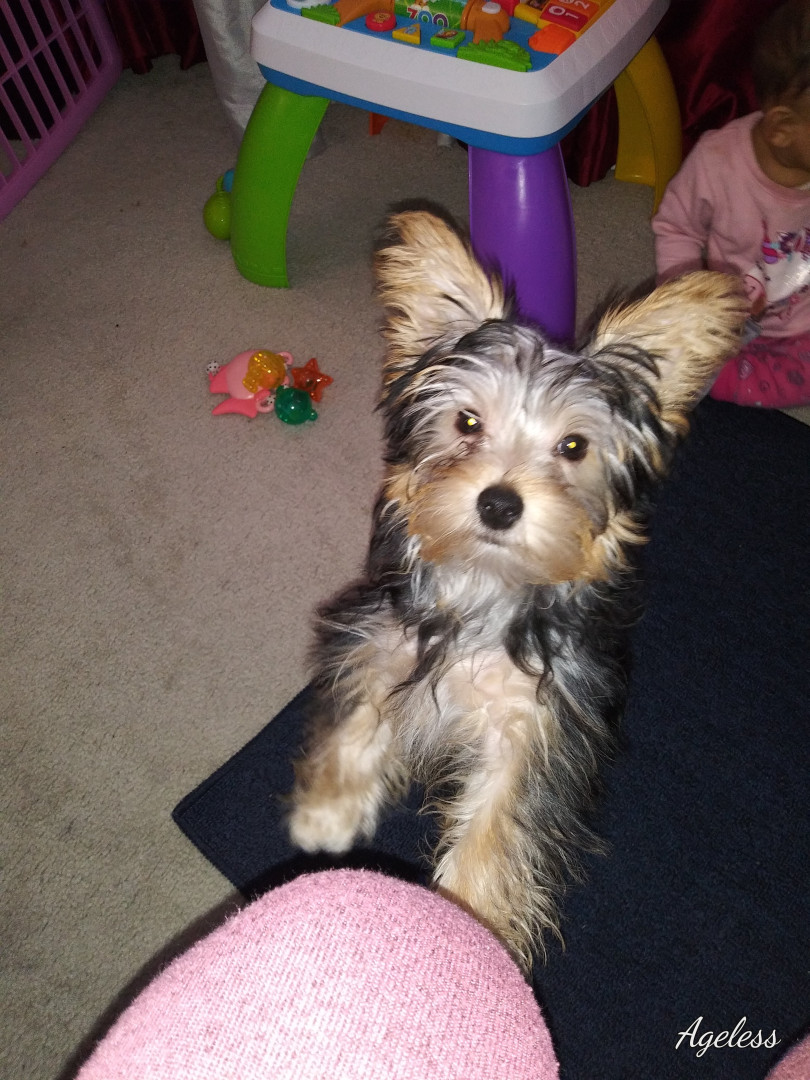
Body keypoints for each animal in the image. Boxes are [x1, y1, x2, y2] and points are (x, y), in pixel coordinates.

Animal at [288, 209, 747, 969]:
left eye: (574, 447)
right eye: (468, 423)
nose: (500, 503)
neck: (487, 585)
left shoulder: (539, 723)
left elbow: (499, 821)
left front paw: (471, 922)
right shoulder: (383, 633)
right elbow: (362, 705)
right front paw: (327, 812)